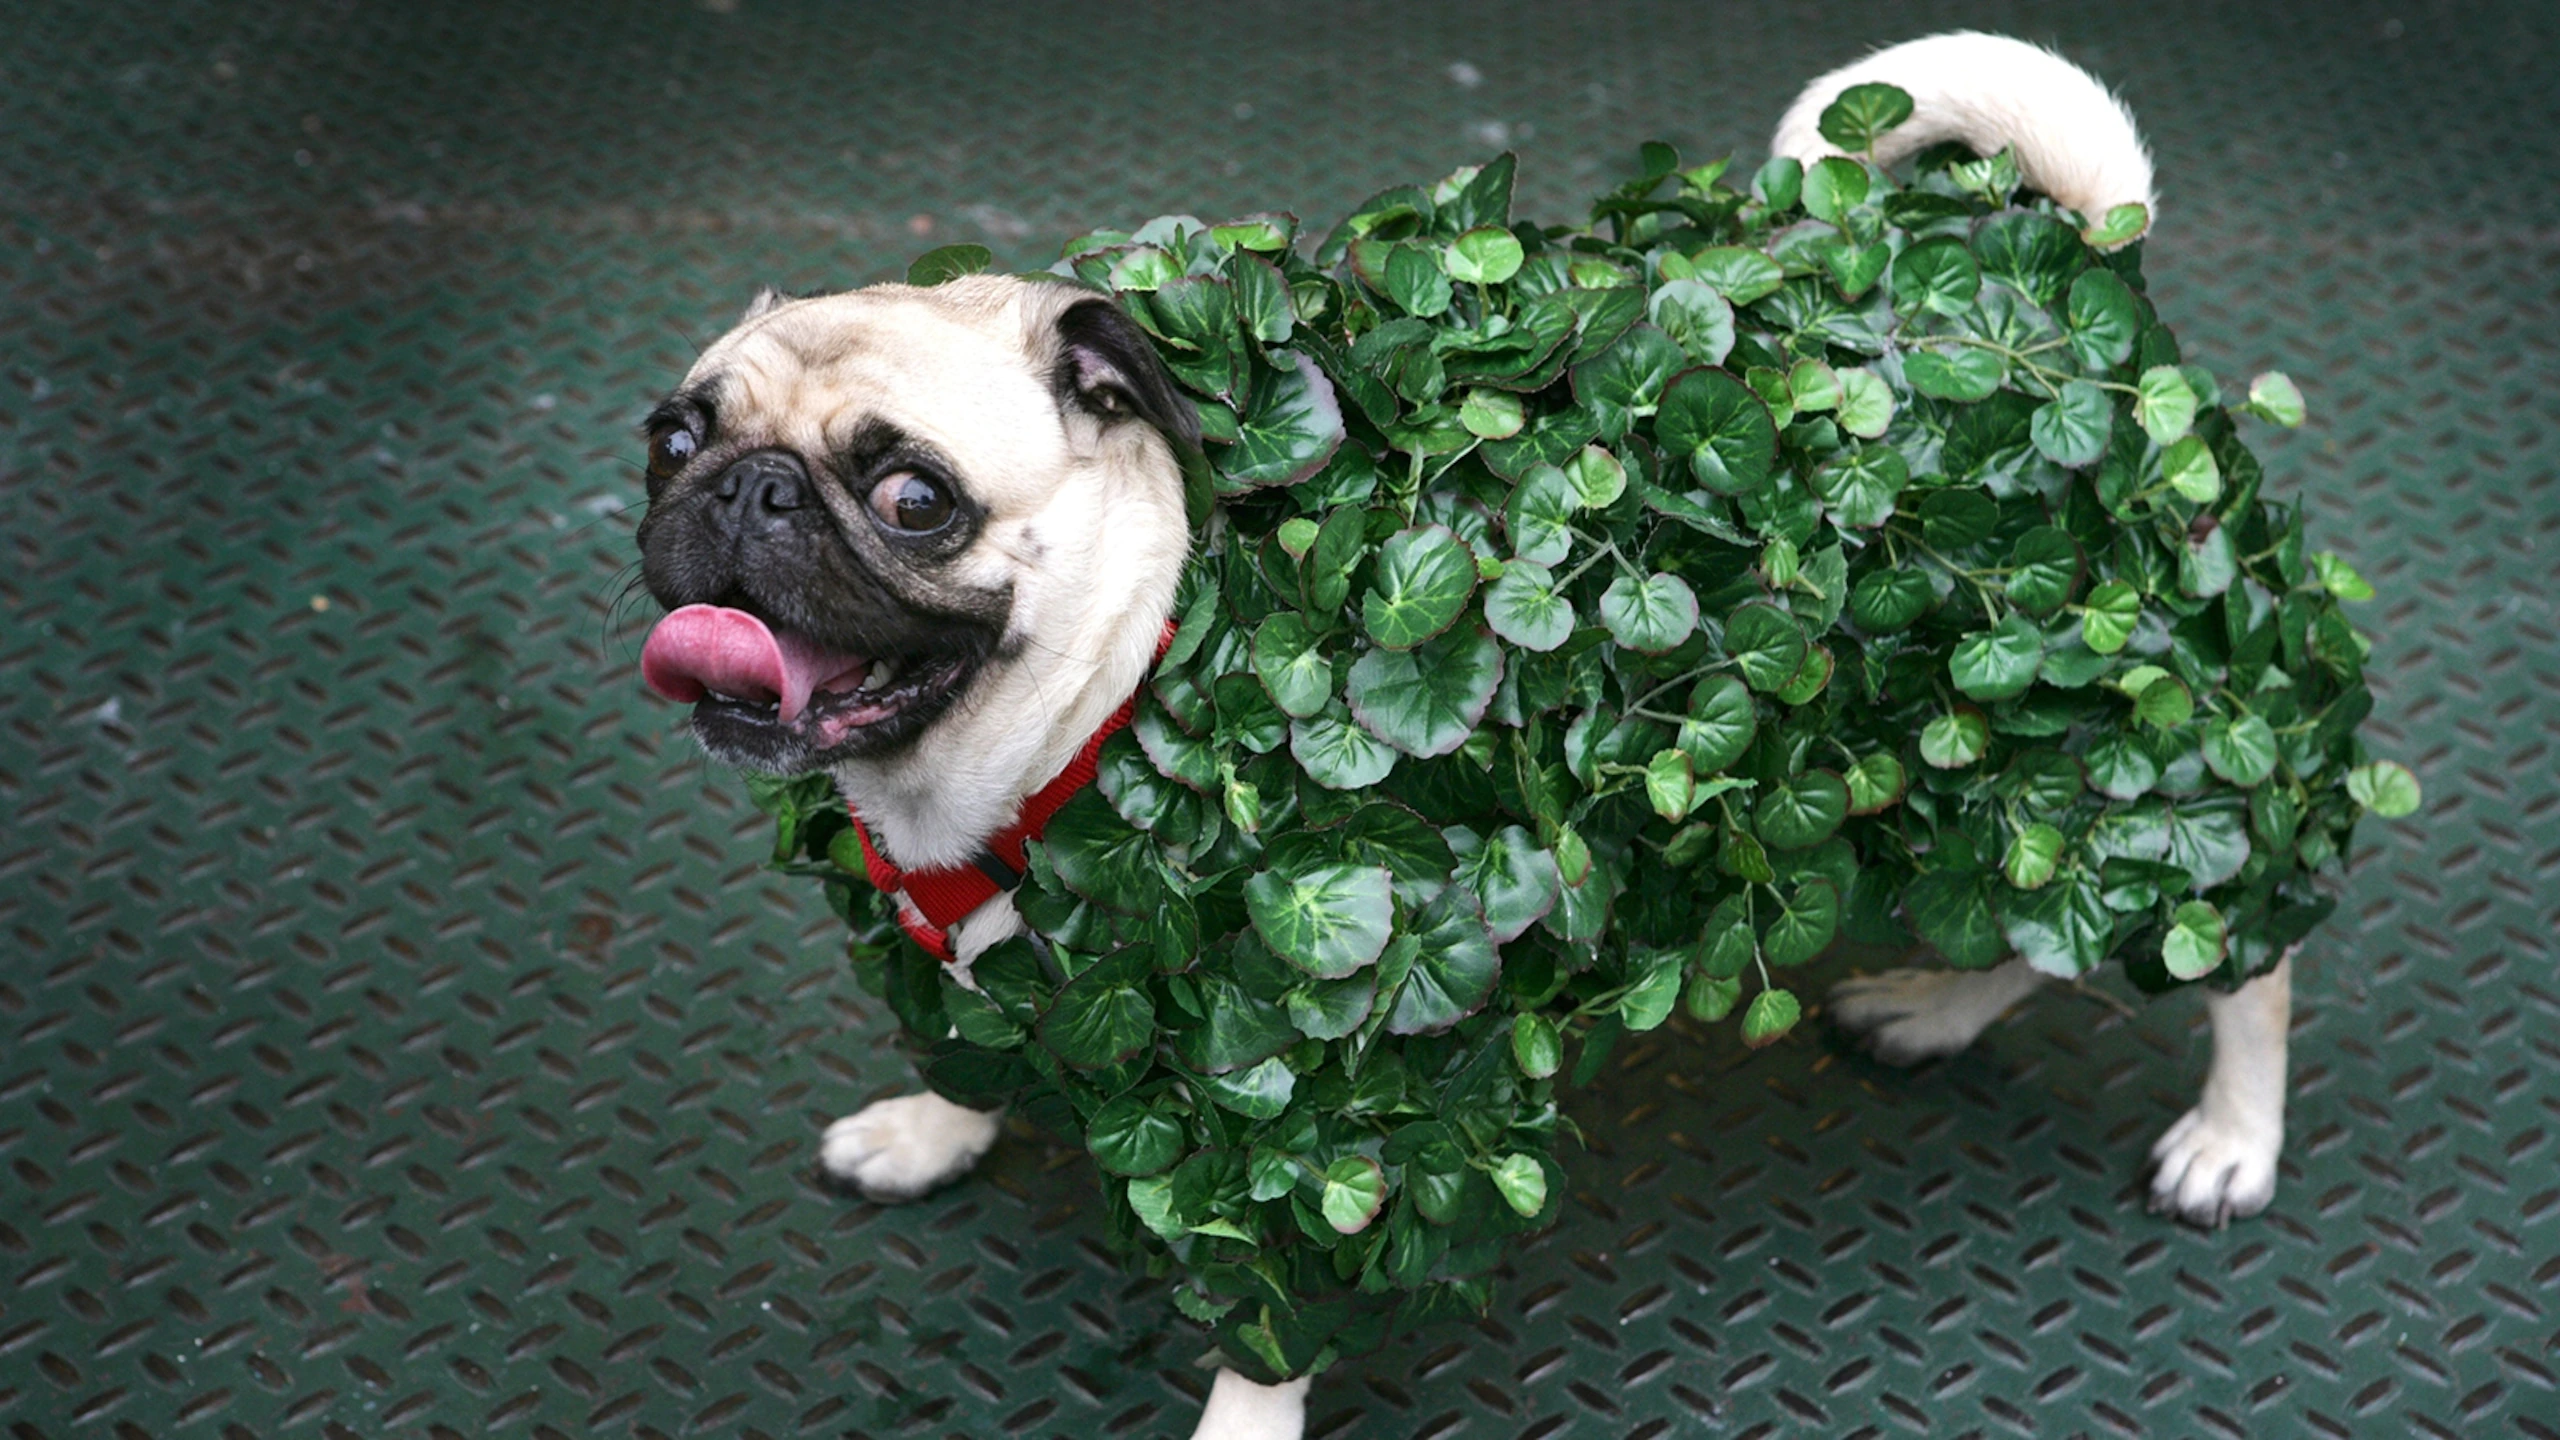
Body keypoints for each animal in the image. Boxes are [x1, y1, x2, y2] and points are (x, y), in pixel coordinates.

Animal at [634, 33, 2304, 1434]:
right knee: (2033, 917)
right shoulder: (966, 979)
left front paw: (1239, 1424)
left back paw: (2231, 1136)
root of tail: (2068, 264)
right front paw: (930, 1131)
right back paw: (1937, 1005)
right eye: (674, 435)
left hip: (2131, 742)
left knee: (2239, 957)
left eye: (914, 496)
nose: (742, 492)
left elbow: (1267, 1311)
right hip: (1966, 771)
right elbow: (967, 1055)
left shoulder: (1318, 1126)